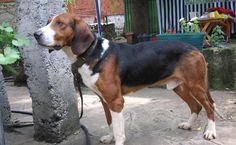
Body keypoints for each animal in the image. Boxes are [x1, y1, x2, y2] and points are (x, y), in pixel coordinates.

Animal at [34, 13, 217, 144]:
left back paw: (210, 132)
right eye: (49, 21)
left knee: (209, 106)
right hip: (178, 86)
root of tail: (195, 49)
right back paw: (188, 125)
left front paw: (117, 140)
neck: (92, 53)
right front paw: (110, 137)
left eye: (60, 23)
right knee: (196, 106)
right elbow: (110, 122)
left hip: (196, 86)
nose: (36, 34)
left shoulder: (116, 101)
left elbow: (119, 130)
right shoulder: (104, 99)